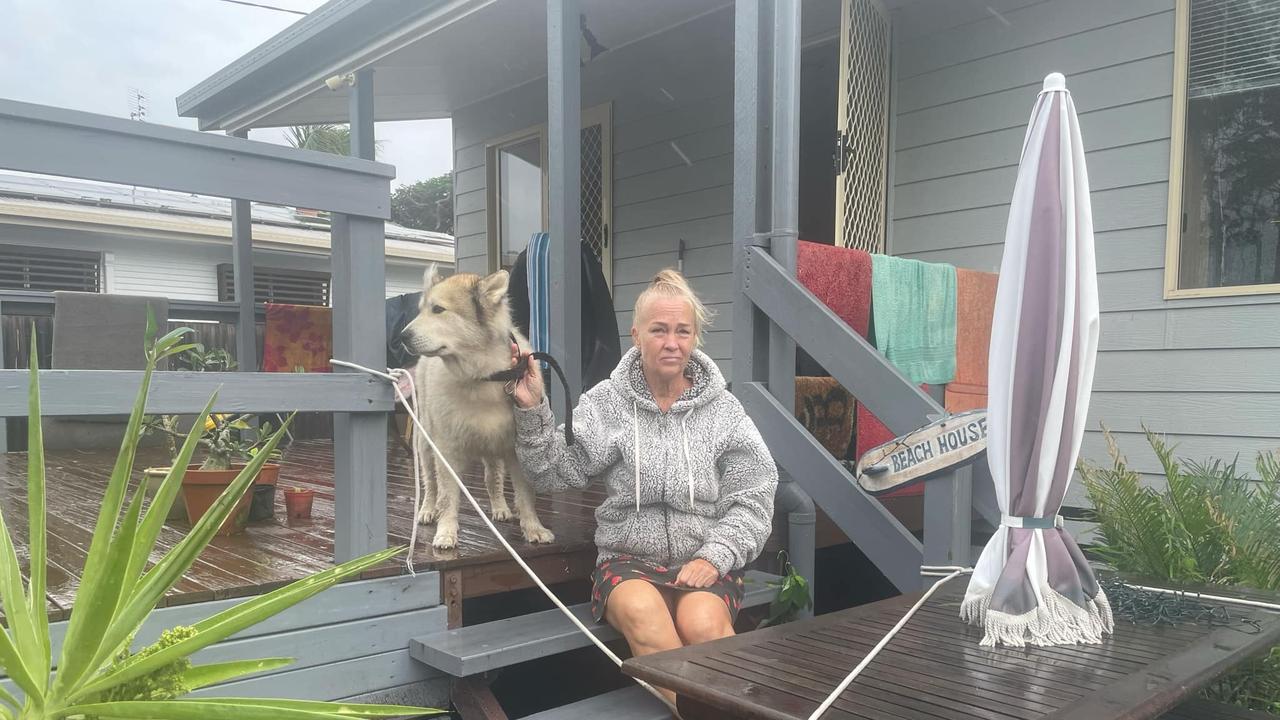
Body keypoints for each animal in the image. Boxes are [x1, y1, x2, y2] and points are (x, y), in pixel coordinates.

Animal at [399, 266, 555, 545]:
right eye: (422, 310)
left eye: (438, 309)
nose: (402, 336)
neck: (484, 376)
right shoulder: (447, 450)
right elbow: (447, 496)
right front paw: (446, 531)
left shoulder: (517, 450)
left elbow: (525, 495)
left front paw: (533, 527)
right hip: (425, 444)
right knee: (430, 483)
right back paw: (427, 510)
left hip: (492, 449)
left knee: (492, 478)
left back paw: (500, 507)